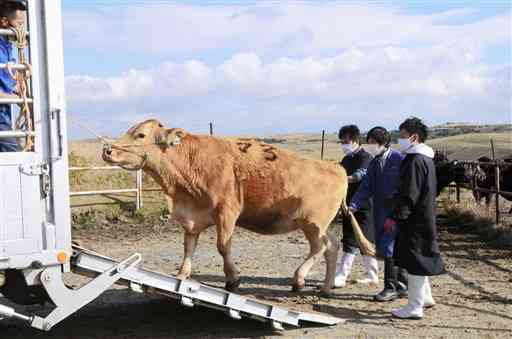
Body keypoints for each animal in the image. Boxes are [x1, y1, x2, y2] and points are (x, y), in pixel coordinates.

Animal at [101, 121, 372, 296]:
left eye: (140, 135)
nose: (108, 150)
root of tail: (336, 167)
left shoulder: (226, 212)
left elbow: (223, 246)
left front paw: (233, 279)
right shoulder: (193, 218)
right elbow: (189, 246)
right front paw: (181, 275)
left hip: (313, 223)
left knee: (320, 247)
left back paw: (299, 279)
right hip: (317, 225)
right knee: (332, 246)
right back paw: (325, 288)